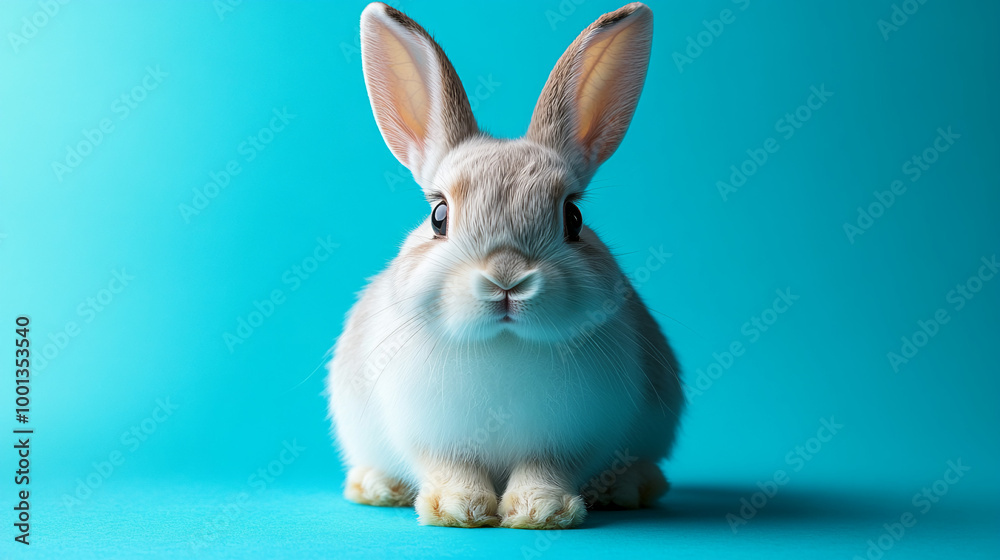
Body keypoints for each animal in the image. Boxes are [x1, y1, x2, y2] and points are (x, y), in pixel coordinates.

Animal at [326, 2, 683, 529]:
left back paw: (626, 488)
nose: (507, 280)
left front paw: (542, 511)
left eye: (573, 218)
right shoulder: (432, 437)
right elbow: (451, 466)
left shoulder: (571, 438)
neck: (503, 343)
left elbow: (546, 468)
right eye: (439, 216)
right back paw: (377, 487)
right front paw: (460, 509)